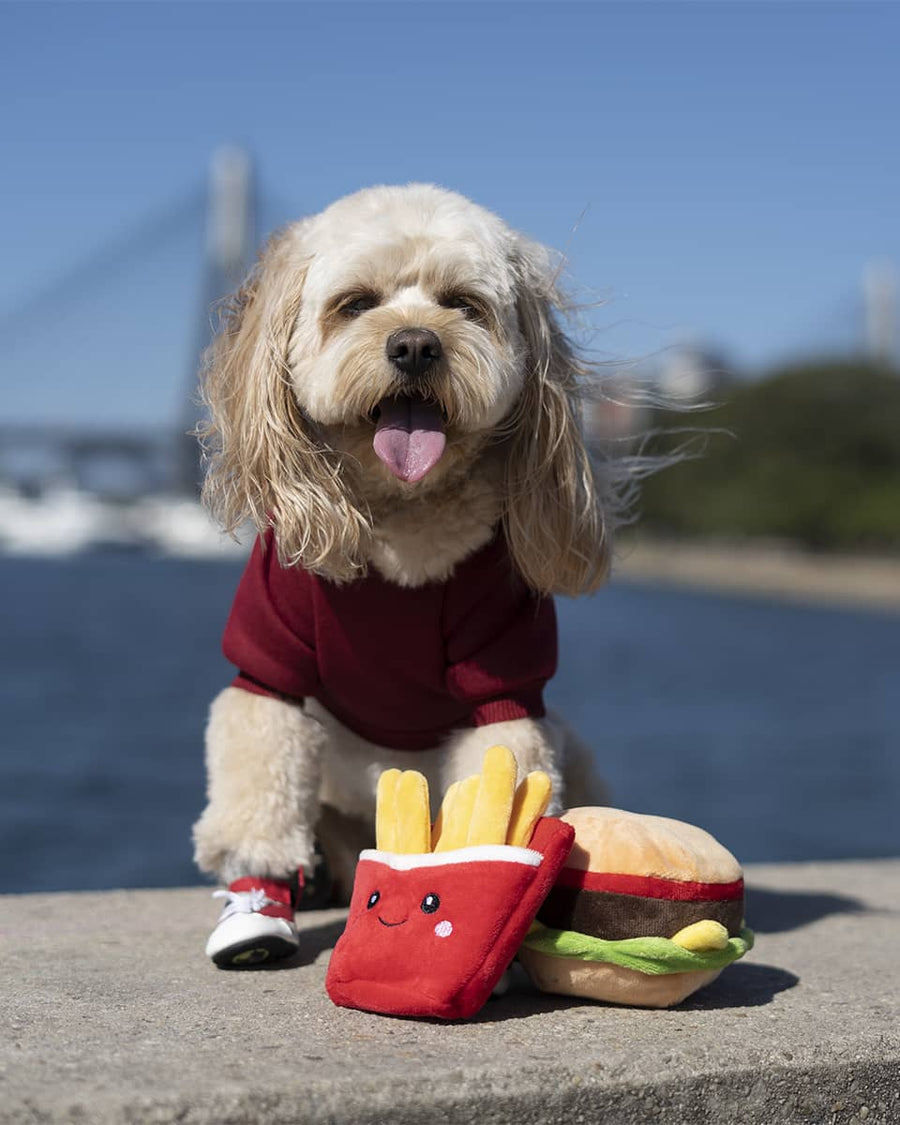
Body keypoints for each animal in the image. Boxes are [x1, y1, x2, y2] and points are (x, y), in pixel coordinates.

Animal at [192, 184, 621, 967]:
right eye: (356, 304)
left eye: (464, 304)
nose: (416, 344)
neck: (405, 520)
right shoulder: (267, 661)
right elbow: (257, 780)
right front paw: (256, 902)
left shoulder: (504, 675)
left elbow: (501, 770)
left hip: (573, 749)